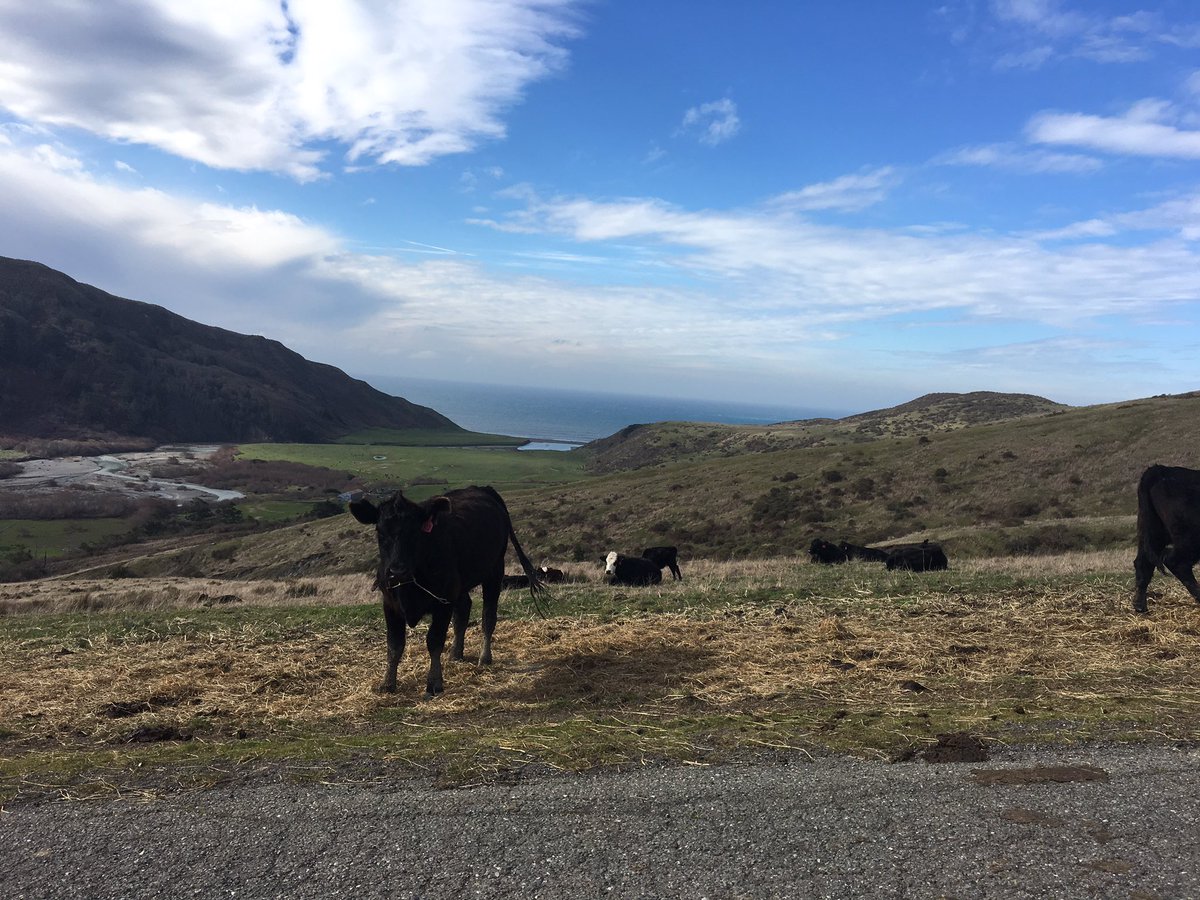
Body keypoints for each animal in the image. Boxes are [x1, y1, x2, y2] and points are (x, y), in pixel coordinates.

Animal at [349, 485, 544, 697]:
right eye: (380, 531)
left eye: (415, 532)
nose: (397, 570)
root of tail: (481, 488)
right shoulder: (390, 604)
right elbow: (394, 645)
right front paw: (387, 683)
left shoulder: (443, 601)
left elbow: (434, 641)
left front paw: (434, 682)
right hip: (460, 585)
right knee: (463, 612)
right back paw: (456, 653)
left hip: (494, 571)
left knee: (488, 617)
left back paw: (484, 657)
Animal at [1134, 464, 1200, 614]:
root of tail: (1161, 469)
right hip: (1189, 540)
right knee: (1177, 563)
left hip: (1153, 533)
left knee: (1143, 563)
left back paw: (1140, 606)